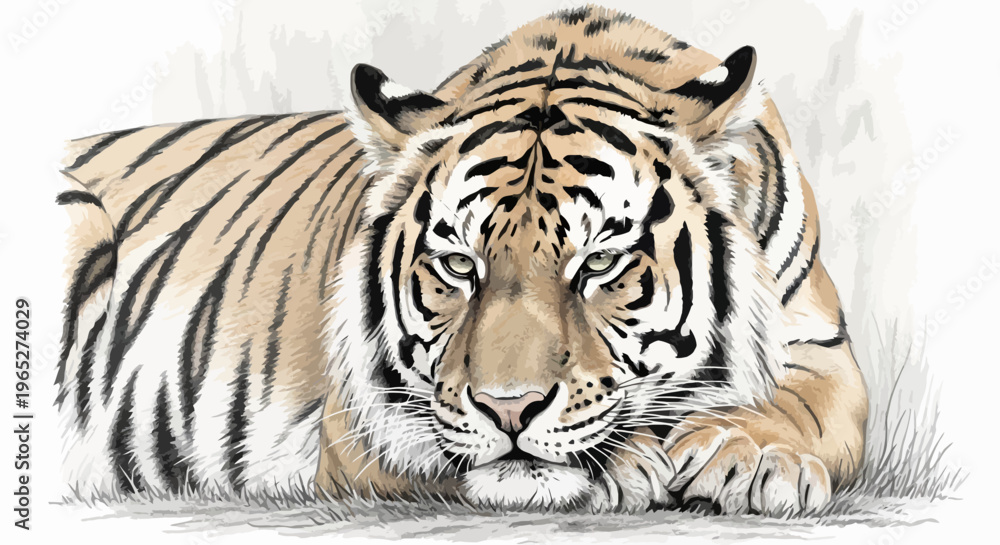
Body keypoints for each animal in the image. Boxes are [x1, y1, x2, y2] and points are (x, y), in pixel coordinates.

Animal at [56, 5, 868, 515]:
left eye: (599, 264)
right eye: (458, 266)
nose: (508, 408)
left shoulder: (819, 346)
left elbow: (808, 403)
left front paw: (750, 455)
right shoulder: (366, 419)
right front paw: (630, 462)